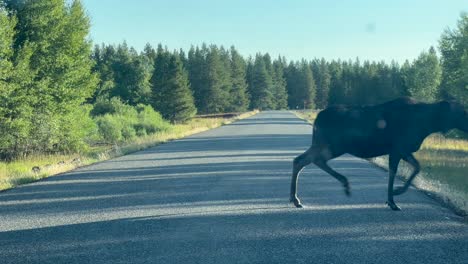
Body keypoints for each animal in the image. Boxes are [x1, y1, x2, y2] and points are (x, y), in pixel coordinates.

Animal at [290, 97, 466, 210]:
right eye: (461, 111)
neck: (428, 124)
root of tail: (317, 118)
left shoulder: (403, 150)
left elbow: (416, 167)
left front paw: (393, 197)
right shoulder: (398, 149)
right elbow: (395, 173)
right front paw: (393, 198)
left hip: (326, 144)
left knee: (301, 160)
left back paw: (296, 199)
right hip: (334, 145)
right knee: (312, 160)